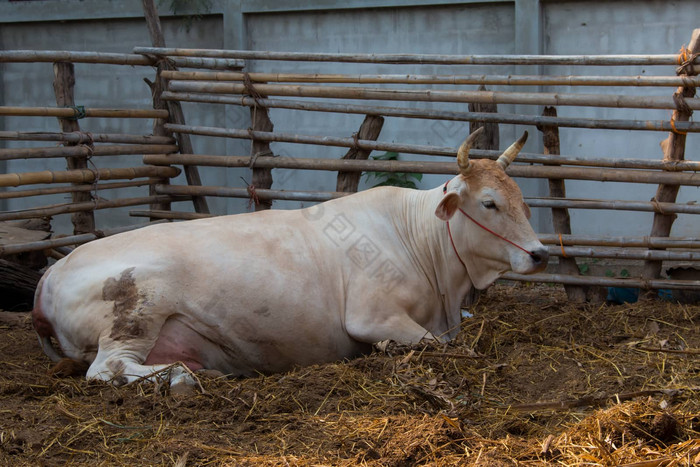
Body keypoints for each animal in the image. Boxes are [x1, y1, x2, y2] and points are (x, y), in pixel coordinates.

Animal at [31, 129, 548, 392]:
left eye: (522, 201)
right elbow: (448, 348)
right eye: (488, 203)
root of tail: (51, 272)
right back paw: (179, 376)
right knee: (108, 368)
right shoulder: (373, 317)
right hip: (136, 310)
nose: (541, 255)